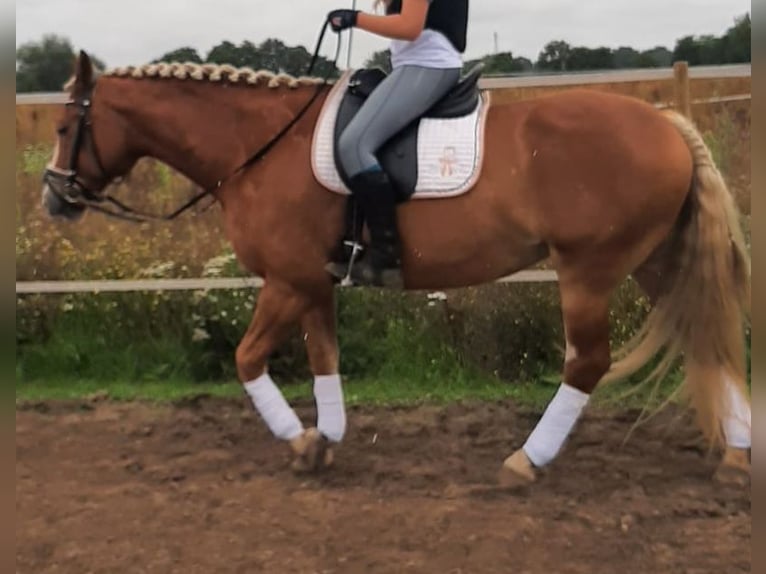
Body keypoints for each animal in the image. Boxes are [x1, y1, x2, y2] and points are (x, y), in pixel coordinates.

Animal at [41, 50, 751, 486]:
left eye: (65, 126)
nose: (54, 197)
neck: (258, 147)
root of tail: (665, 121)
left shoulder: (286, 282)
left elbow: (247, 359)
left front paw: (299, 441)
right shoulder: (312, 283)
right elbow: (323, 357)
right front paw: (325, 439)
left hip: (589, 272)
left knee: (587, 362)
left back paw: (526, 460)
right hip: (654, 261)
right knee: (705, 338)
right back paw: (738, 456)